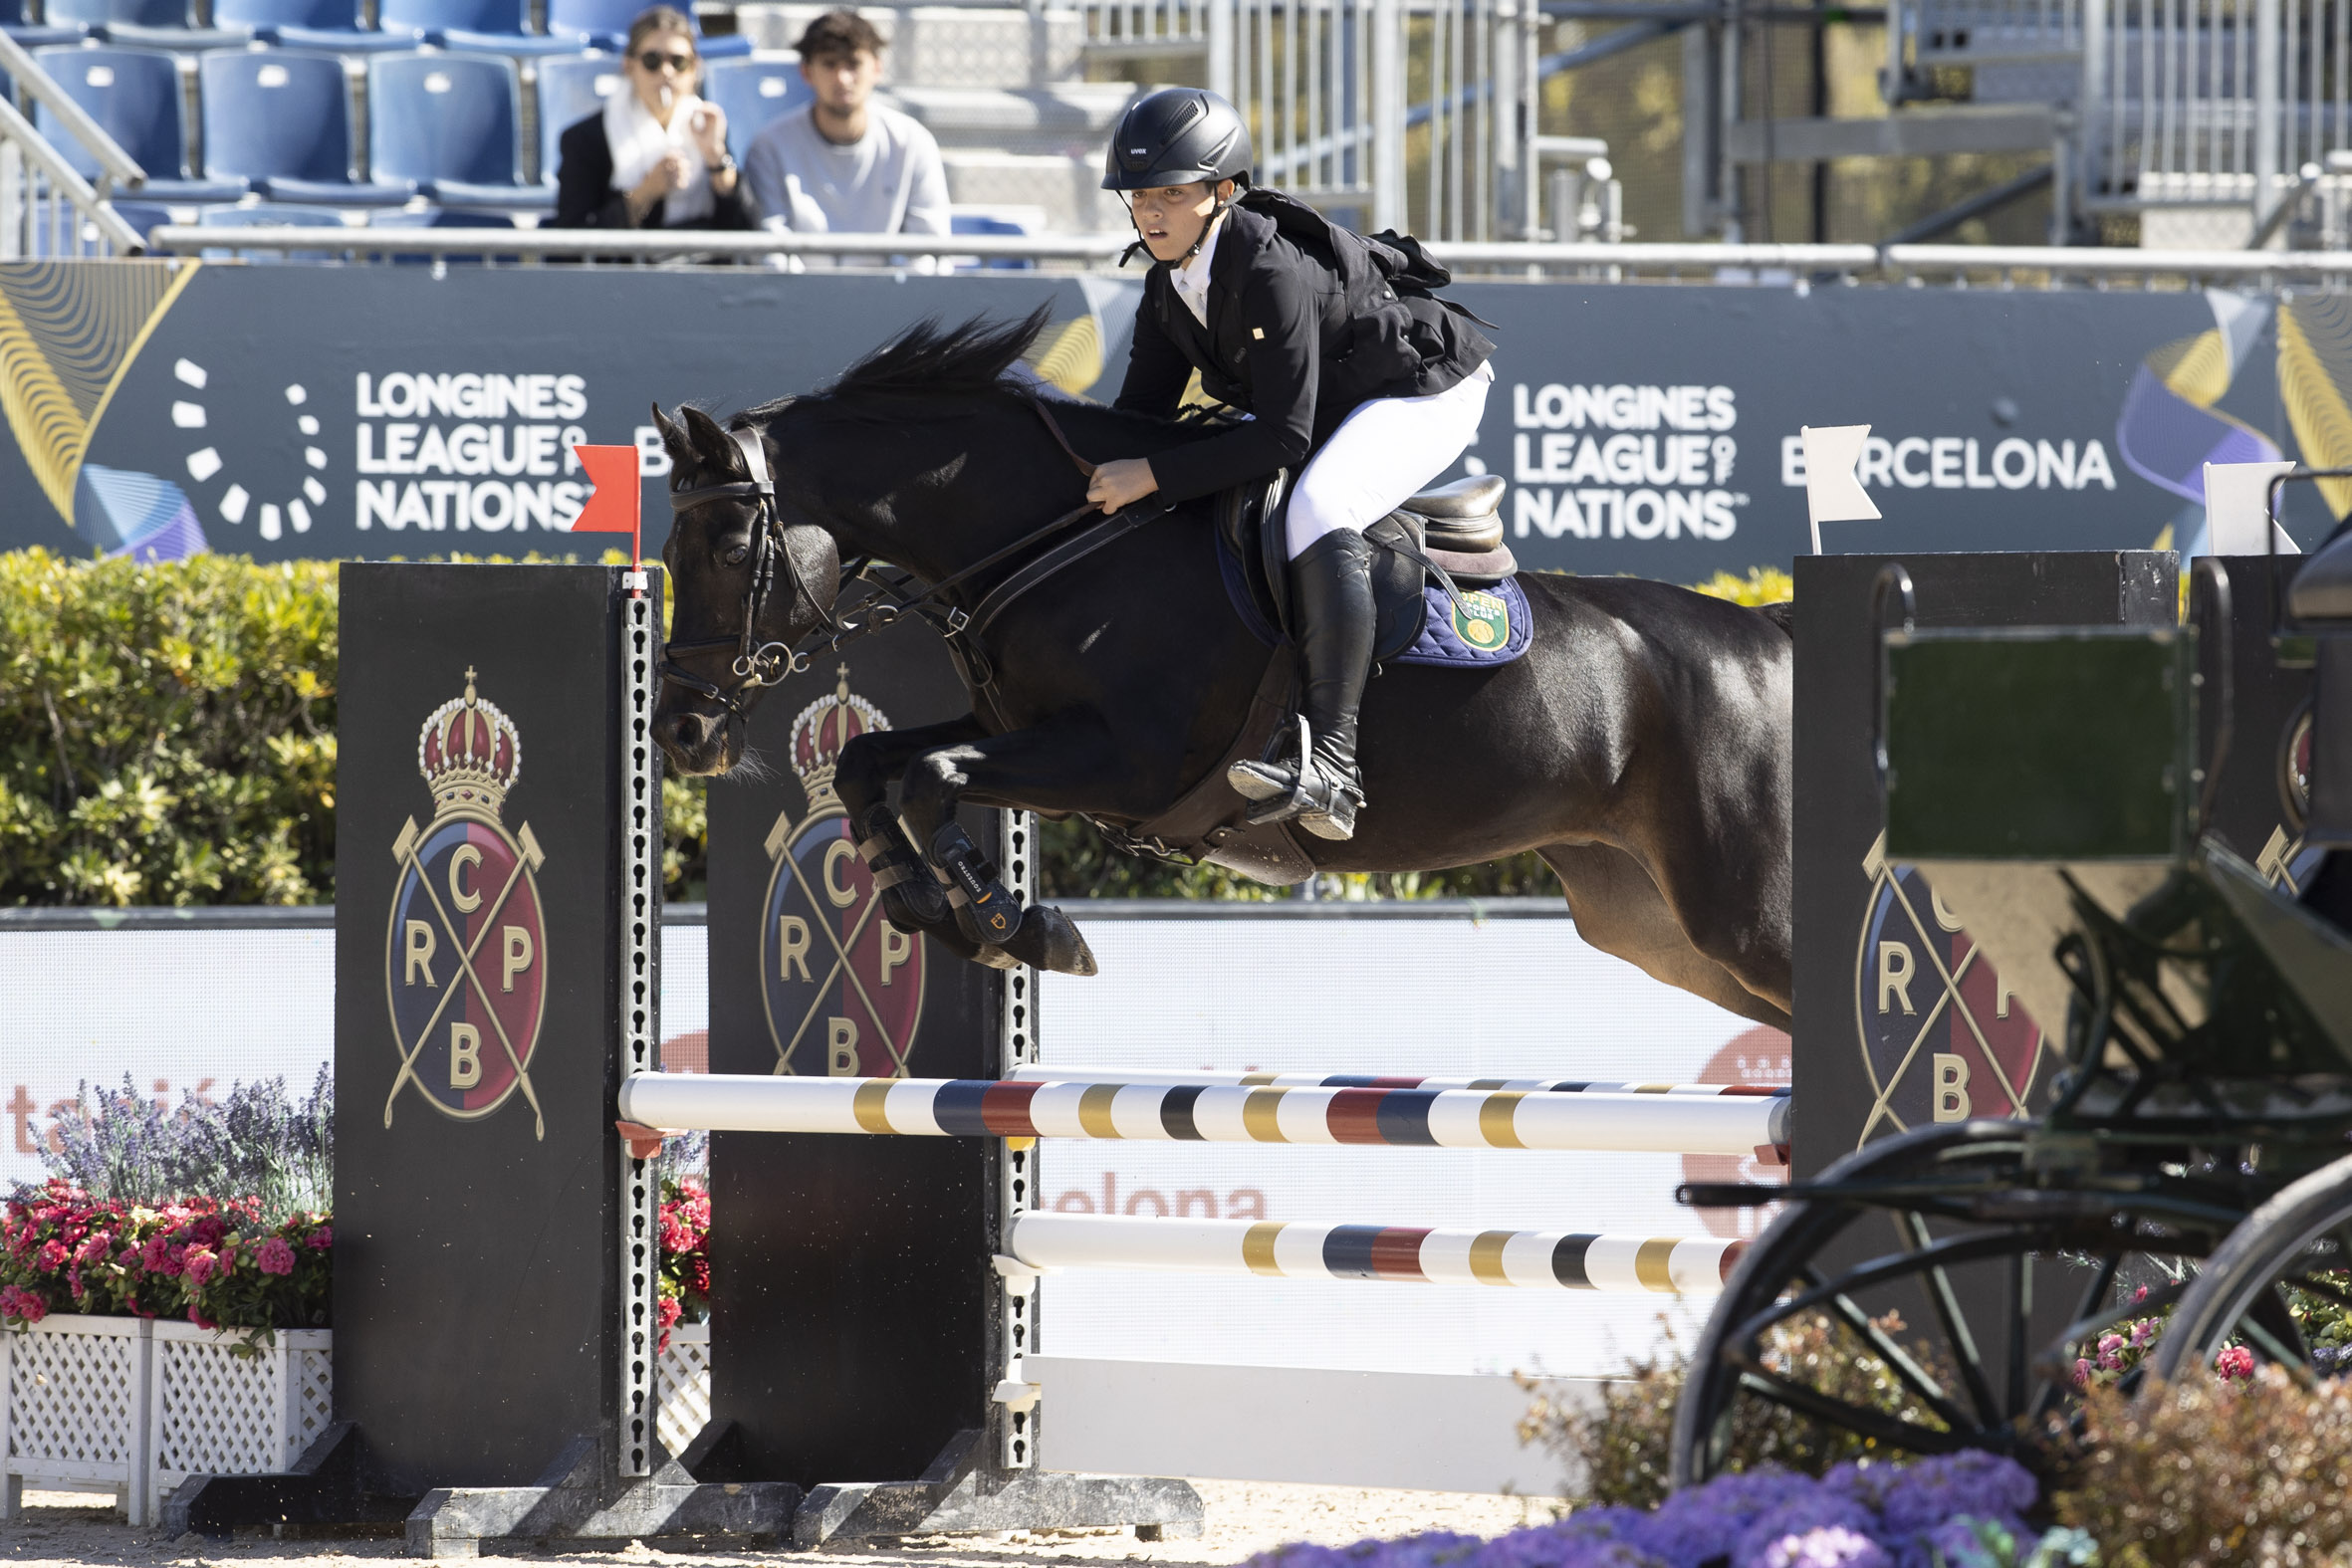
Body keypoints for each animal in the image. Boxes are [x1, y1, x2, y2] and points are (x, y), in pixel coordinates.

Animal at [653, 313, 1787, 1033]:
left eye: (726, 548)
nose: (679, 731)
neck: (1062, 537)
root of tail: (1766, 639)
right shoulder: (1025, 735)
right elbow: (870, 765)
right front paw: (920, 906)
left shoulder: (1125, 764)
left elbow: (929, 779)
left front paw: (1016, 925)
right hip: (1655, 928)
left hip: (1742, 921)